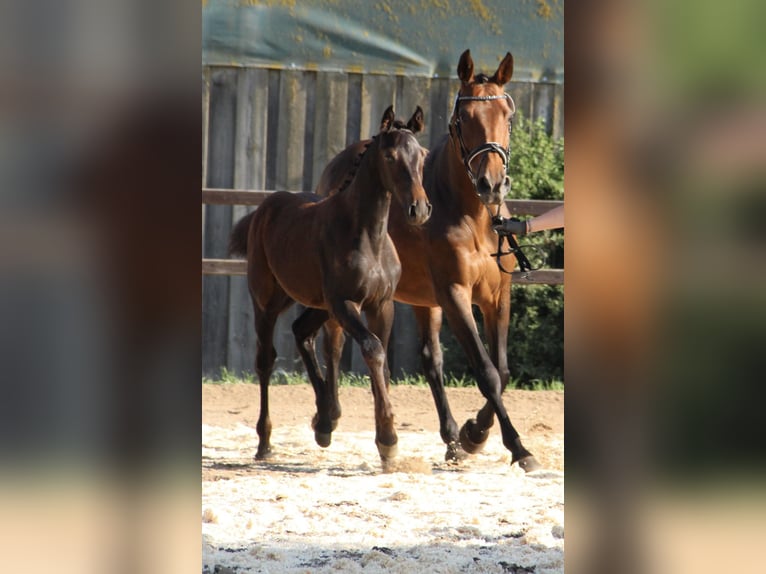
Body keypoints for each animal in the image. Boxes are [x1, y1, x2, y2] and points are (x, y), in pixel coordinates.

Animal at [228, 108, 432, 466]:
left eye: (421, 155)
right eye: (390, 156)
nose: (418, 209)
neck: (367, 235)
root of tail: (266, 207)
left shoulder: (381, 304)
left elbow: (383, 365)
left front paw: (384, 442)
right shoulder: (344, 303)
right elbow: (373, 349)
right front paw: (388, 440)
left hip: (317, 304)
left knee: (302, 332)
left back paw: (325, 419)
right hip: (267, 302)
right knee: (265, 360)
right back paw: (266, 441)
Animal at [316, 49, 544, 472]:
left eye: (508, 115)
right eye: (463, 118)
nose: (492, 184)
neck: (472, 216)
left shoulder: (496, 297)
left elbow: (502, 370)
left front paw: (473, 434)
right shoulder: (455, 294)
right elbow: (487, 372)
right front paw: (512, 446)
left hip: (425, 300)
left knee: (431, 360)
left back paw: (452, 439)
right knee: (334, 342)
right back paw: (327, 420)